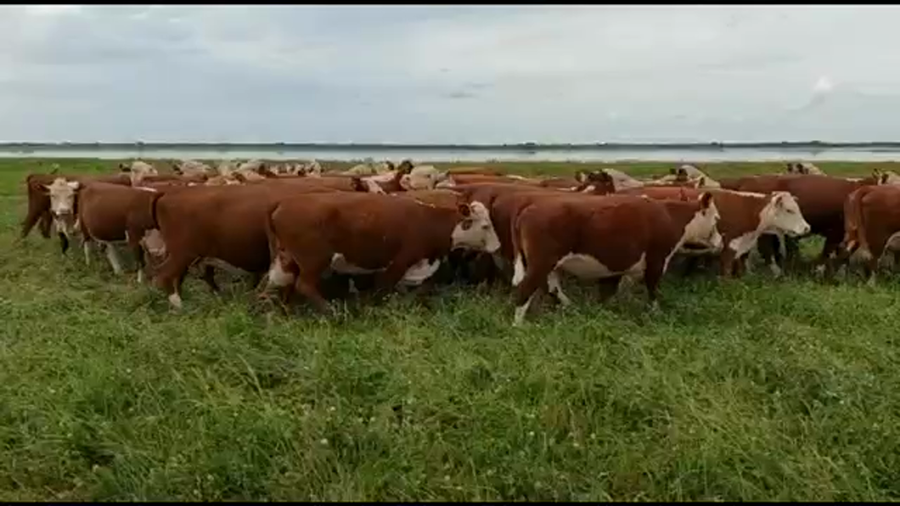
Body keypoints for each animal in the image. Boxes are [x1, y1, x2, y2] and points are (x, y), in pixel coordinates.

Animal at [263, 192, 502, 314]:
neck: (430, 221)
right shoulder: (399, 263)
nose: (497, 247)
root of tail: (281, 202)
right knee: (304, 285)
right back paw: (331, 311)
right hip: (314, 260)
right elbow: (383, 289)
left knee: (273, 285)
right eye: (485, 226)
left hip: (284, 259)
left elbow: (421, 288)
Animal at [508, 192, 722, 325]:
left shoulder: (617, 267)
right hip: (541, 262)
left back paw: (572, 308)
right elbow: (652, 289)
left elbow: (609, 291)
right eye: (716, 219)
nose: (721, 241)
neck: (671, 216)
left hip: (550, 265)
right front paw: (656, 312)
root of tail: (529, 207)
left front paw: (604, 311)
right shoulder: (656, 260)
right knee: (525, 289)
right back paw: (518, 325)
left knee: (552, 287)